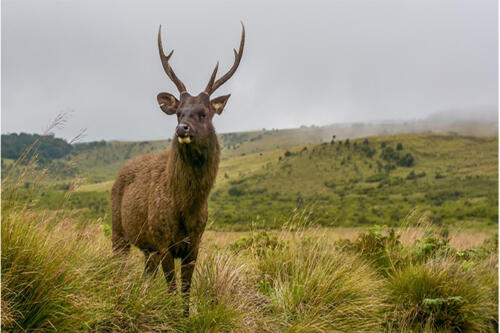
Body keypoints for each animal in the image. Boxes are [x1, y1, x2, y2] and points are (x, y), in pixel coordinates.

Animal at [112, 22, 246, 314]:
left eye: (204, 113)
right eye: (178, 112)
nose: (181, 128)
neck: (186, 206)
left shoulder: (194, 244)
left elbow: (186, 292)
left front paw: (184, 317)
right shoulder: (163, 241)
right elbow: (173, 290)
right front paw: (170, 316)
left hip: (146, 247)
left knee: (144, 276)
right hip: (118, 229)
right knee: (117, 267)